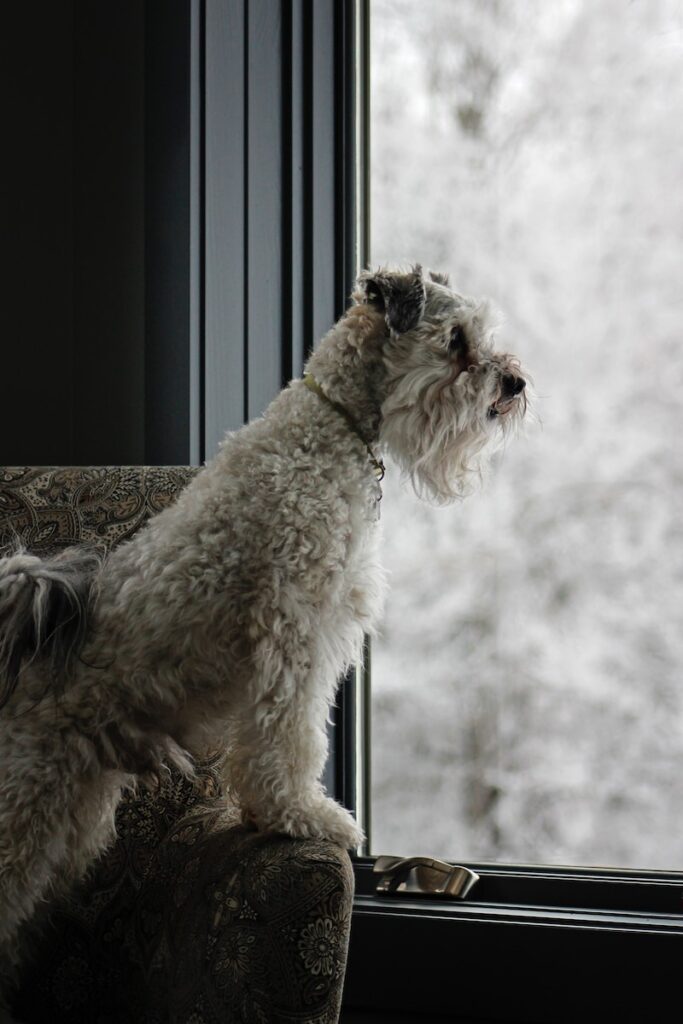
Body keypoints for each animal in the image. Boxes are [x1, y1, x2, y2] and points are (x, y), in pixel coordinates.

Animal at [0, 262, 528, 966]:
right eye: (455, 340)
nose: (515, 383)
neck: (330, 428)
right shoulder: (296, 625)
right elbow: (292, 736)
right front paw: (301, 816)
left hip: (67, 823)